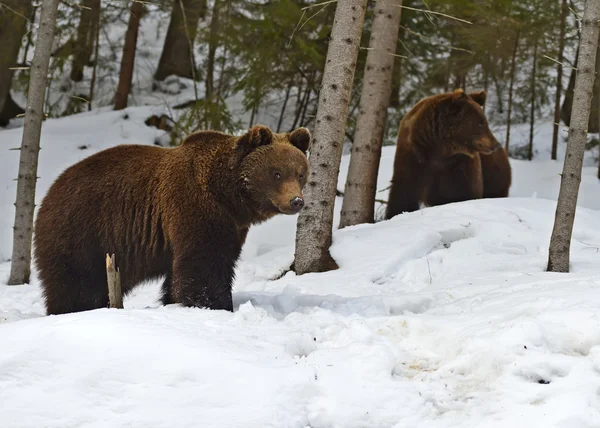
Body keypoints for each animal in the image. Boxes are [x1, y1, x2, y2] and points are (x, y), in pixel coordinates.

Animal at [34, 123, 310, 314]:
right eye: (276, 173)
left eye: (300, 173)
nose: (296, 201)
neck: (227, 195)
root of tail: (49, 192)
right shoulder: (194, 207)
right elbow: (203, 266)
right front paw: (213, 305)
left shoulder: (231, 226)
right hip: (82, 232)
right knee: (76, 285)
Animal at [384, 88, 510, 219]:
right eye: (480, 123)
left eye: (484, 121)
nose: (496, 144)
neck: (439, 148)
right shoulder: (412, 157)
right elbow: (403, 192)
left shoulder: (457, 165)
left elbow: (463, 192)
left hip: (495, 177)